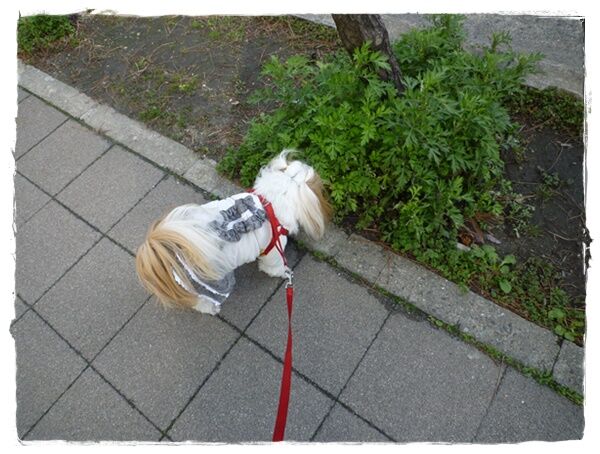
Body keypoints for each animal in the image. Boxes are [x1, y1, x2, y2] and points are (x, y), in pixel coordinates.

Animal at [135, 150, 332, 314]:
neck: (270, 201)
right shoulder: (274, 249)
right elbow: (273, 266)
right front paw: (282, 272)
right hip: (209, 283)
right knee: (202, 301)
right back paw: (211, 309)